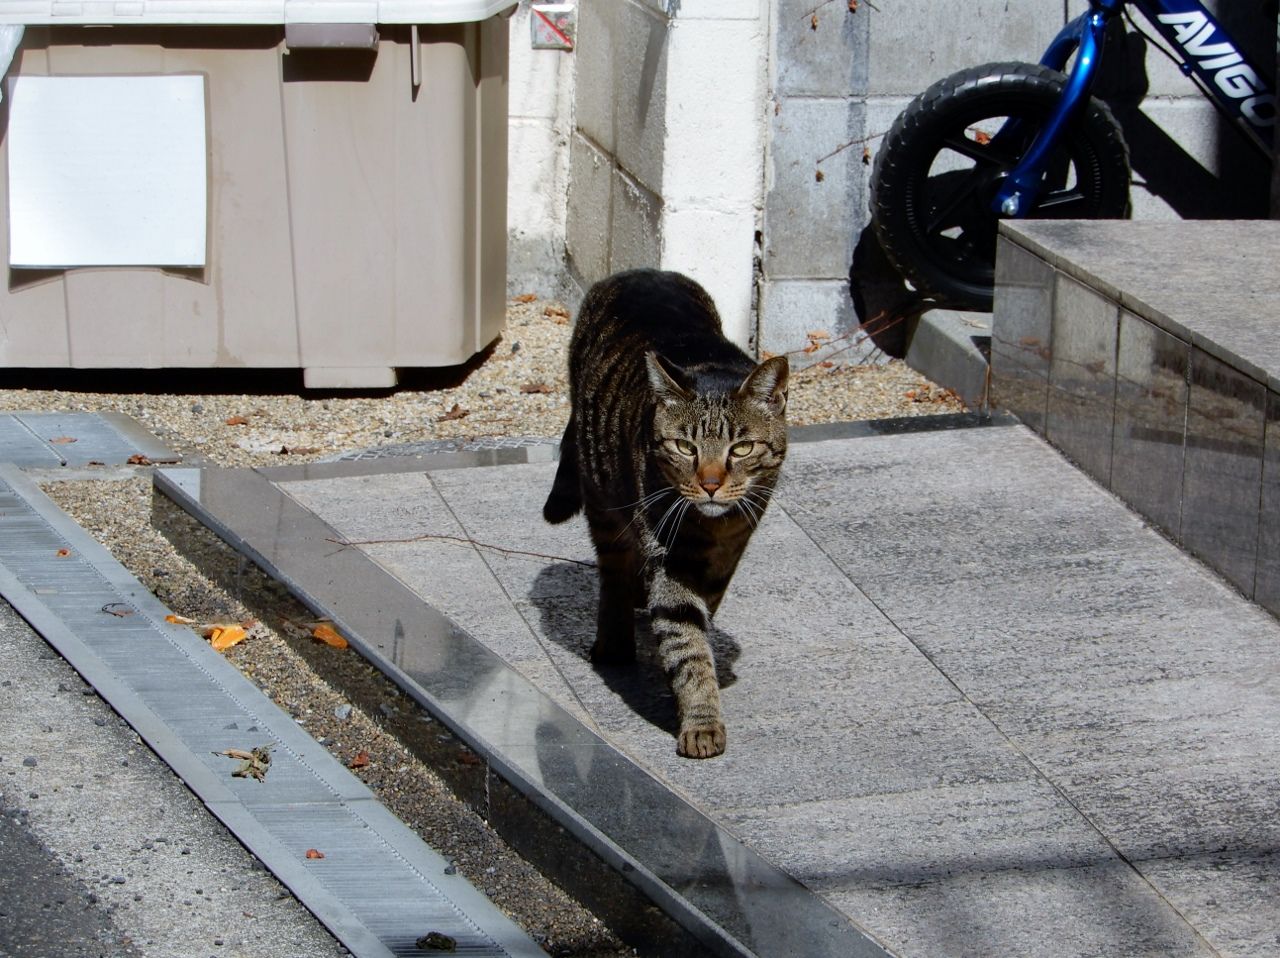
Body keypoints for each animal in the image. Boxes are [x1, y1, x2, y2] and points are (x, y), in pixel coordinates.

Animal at [537, 267, 783, 758]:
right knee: (613, 571)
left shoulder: (732, 548)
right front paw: (701, 721)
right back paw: (614, 643)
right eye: (685, 447)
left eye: (741, 448)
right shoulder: (670, 557)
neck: (712, 529)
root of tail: (638, 270)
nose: (710, 482)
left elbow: (702, 615)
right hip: (603, 495)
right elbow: (686, 640)